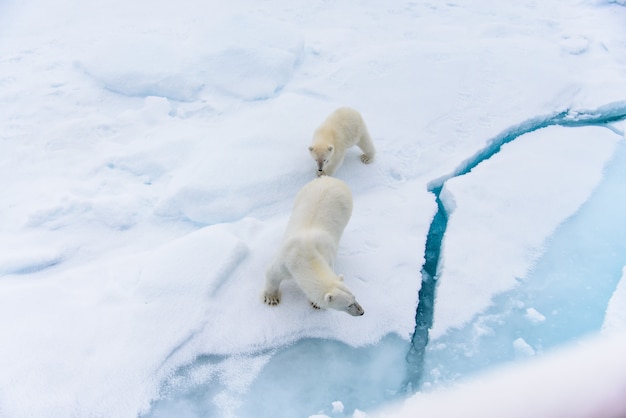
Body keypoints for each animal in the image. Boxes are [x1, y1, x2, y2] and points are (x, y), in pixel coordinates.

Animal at [262, 175, 360, 316]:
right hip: (303, 193)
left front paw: (315, 304)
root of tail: (329, 178)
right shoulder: (286, 258)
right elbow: (273, 273)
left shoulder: (327, 257)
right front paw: (271, 298)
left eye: (354, 297)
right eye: (348, 305)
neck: (307, 255)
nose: (362, 312)